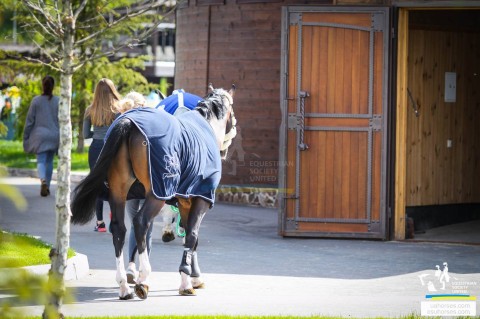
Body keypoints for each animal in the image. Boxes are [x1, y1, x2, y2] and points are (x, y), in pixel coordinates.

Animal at [71, 85, 236, 300]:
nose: (225, 150)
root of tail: (127, 122)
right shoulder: (201, 198)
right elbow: (192, 236)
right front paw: (187, 281)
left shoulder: (185, 201)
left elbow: (191, 237)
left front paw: (194, 277)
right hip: (157, 194)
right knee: (141, 222)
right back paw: (143, 278)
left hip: (118, 192)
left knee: (119, 229)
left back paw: (124, 285)